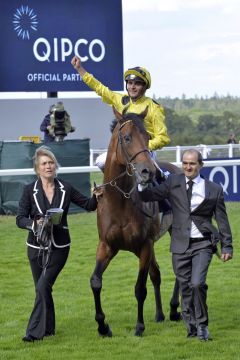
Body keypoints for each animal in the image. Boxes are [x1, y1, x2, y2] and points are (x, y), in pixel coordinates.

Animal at [91, 108, 181, 336]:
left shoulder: (144, 245)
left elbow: (140, 288)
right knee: (156, 274)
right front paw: (102, 326)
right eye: (126, 137)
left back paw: (174, 308)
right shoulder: (107, 245)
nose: (148, 171)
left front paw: (139, 326)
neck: (121, 201)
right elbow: (95, 281)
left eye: (148, 136)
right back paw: (160, 314)